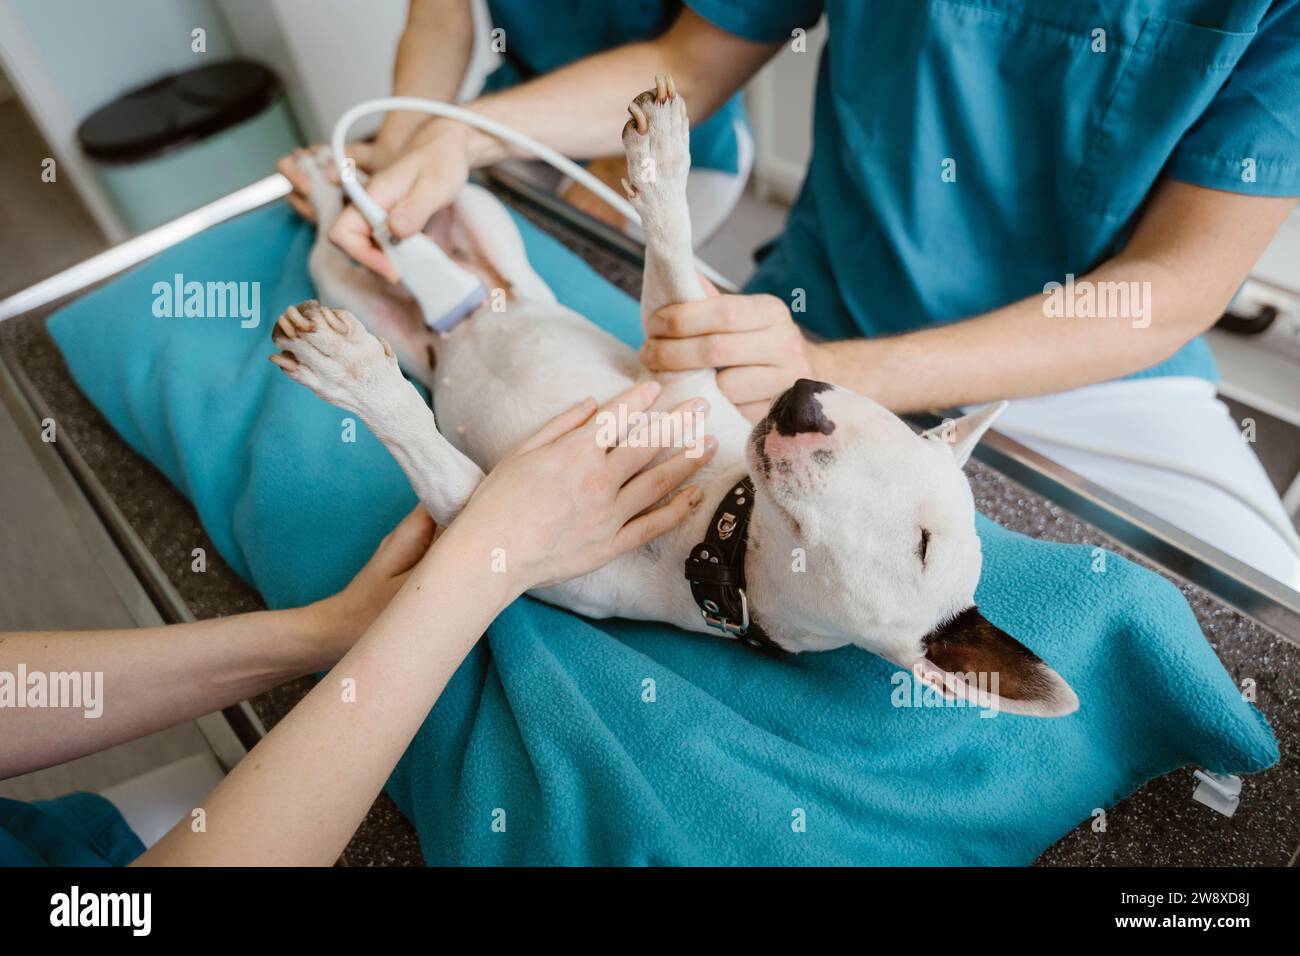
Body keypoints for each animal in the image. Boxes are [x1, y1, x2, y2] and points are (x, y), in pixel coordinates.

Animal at [271, 76, 1076, 717]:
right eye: (902, 433)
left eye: (921, 545)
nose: (804, 399)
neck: (718, 524)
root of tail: (461, 313)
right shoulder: (673, 356)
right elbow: (676, 270)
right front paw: (661, 158)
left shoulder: (499, 525)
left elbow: (427, 450)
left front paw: (354, 376)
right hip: (472, 216)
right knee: (392, 208)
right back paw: (332, 180)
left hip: (387, 302)